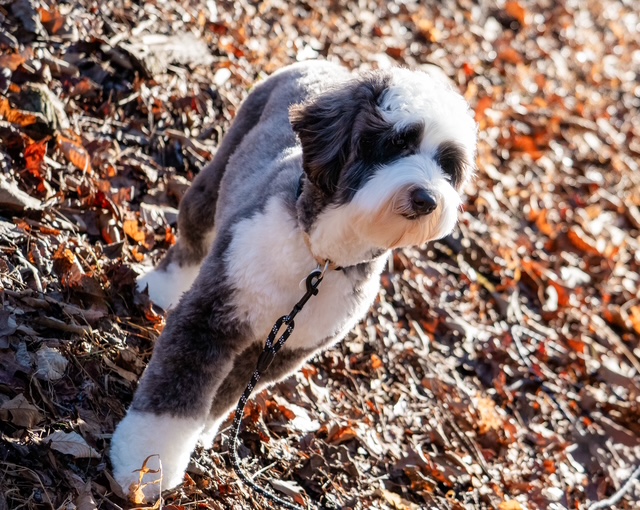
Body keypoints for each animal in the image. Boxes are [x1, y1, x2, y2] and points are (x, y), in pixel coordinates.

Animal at [110, 60, 477, 501]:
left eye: (447, 165)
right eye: (396, 142)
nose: (427, 199)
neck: (322, 258)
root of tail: (323, 63)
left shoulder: (282, 349)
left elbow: (227, 395)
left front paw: (202, 434)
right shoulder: (214, 313)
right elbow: (174, 396)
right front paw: (145, 468)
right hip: (215, 180)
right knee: (192, 238)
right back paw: (162, 289)